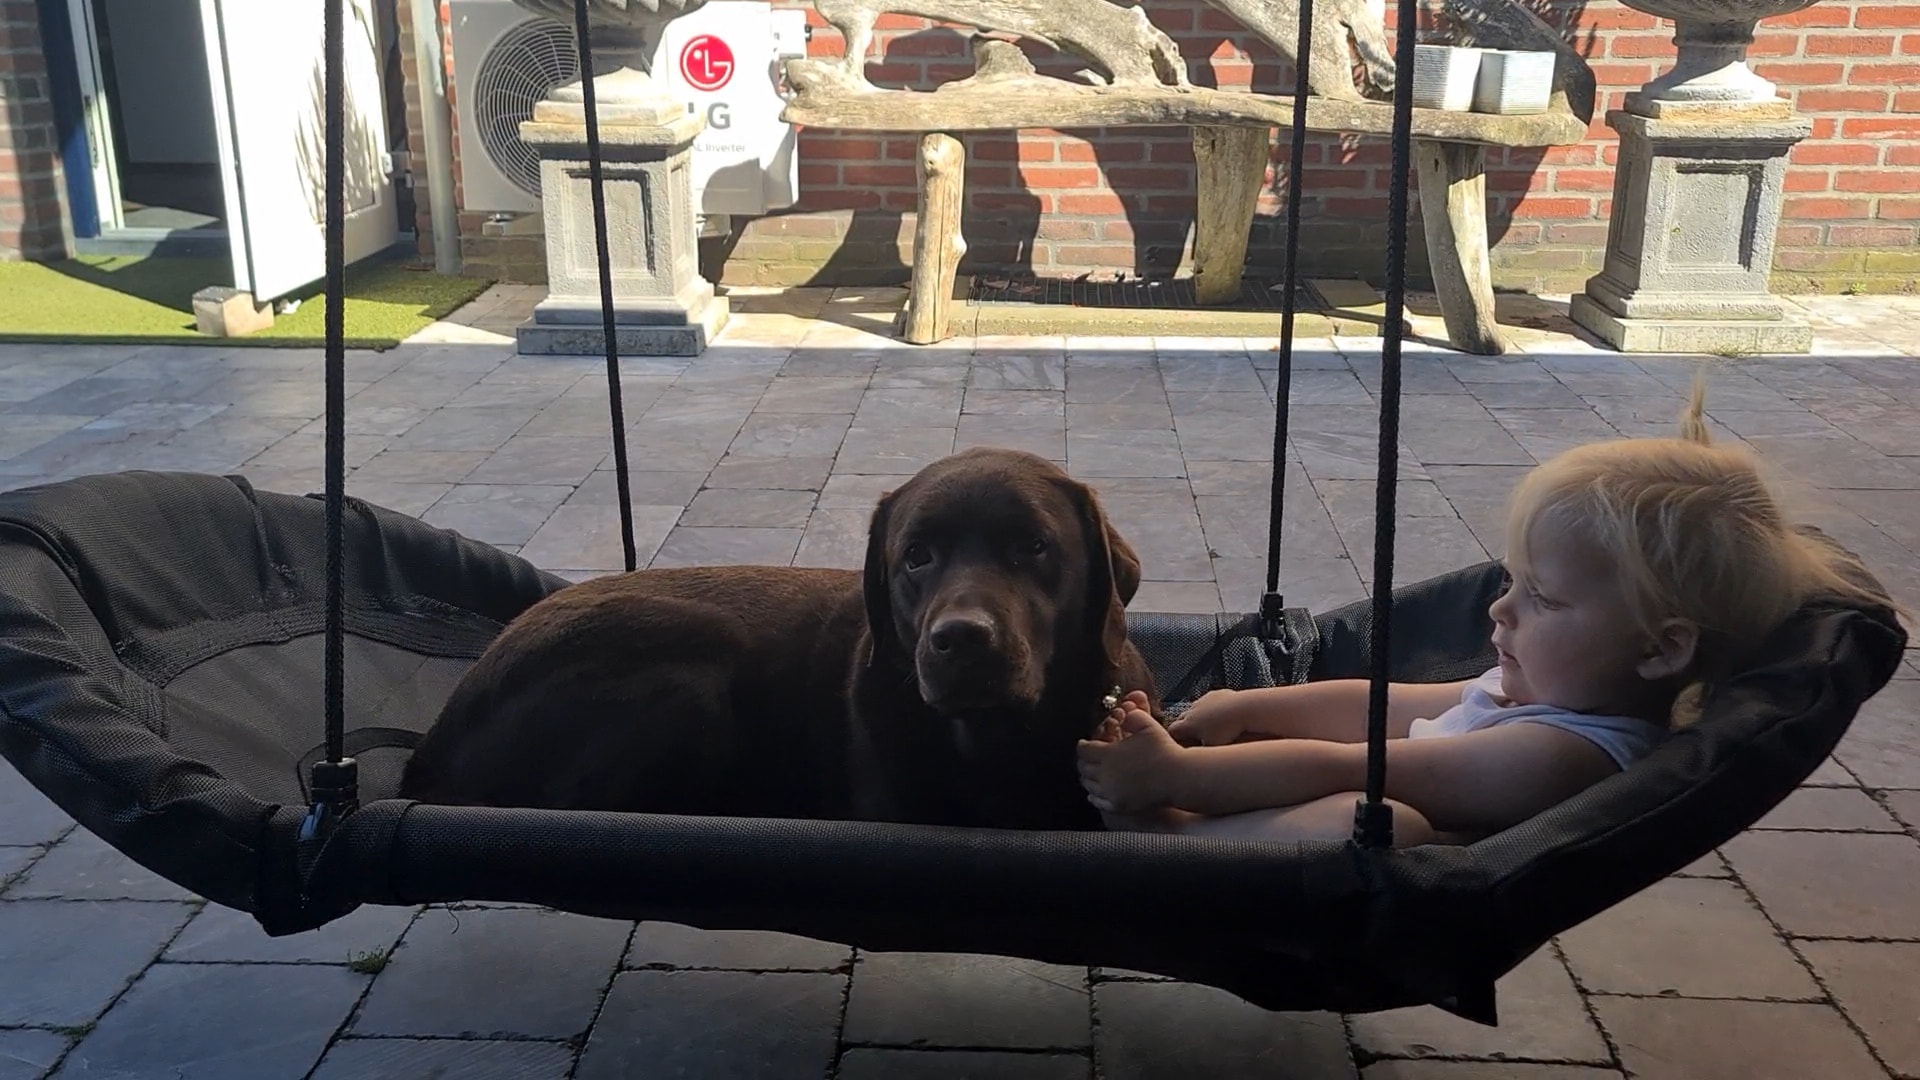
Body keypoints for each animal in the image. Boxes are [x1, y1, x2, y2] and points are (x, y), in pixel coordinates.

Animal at [398, 446, 1161, 831]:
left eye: (1032, 546)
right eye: (916, 557)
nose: (961, 640)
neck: (998, 745)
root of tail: (433, 743)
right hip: (691, 656)